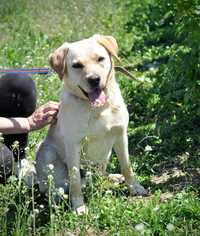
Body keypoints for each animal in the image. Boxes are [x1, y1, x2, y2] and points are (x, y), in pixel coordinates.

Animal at [36, 34, 146, 214]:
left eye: (100, 58)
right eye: (77, 65)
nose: (94, 79)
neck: (98, 108)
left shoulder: (121, 135)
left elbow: (127, 166)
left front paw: (134, 187)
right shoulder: (73, 145)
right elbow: (75, 182)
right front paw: (79, 206)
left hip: (106, 153)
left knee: (99, 174)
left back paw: (113, 177)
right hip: (46, 152)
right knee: (54, 187)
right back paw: (56, 198)